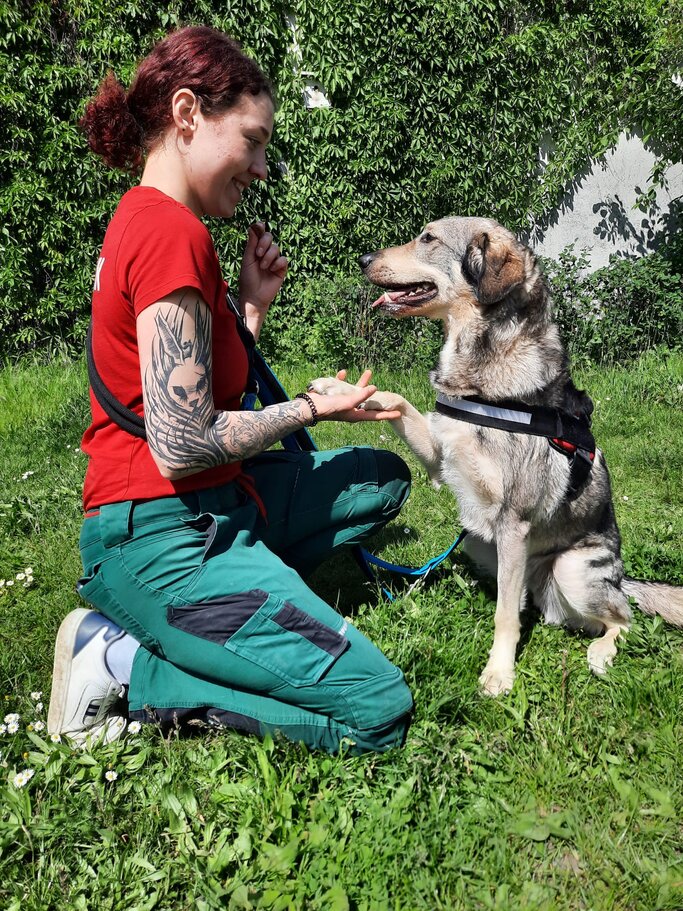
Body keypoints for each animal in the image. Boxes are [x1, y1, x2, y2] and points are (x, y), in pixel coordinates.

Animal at [312, 216, 683, 700]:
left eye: (428, 238)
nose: (363, 259)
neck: (482, 372)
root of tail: (621, 577)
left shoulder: (513, 521)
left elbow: (504, 615)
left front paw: (499, 673)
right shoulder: (440, 457)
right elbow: (394, 398)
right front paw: (338, 390)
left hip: (570, 570)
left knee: (622, 619)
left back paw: (601, 652)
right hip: (478, 540)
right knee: (536, 603)